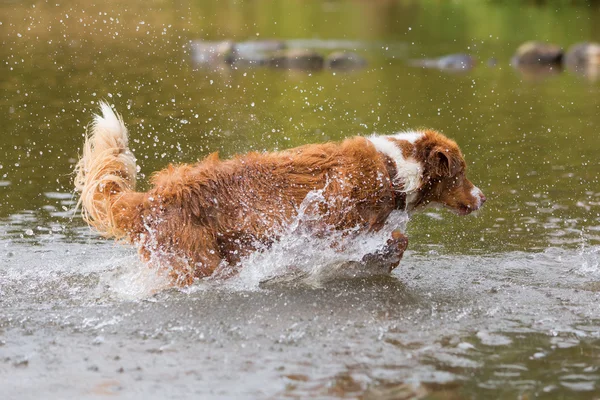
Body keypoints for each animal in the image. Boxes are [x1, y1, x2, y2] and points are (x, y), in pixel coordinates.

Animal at [76, 101, 488, 286]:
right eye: (461, 171)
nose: (483, 197)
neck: (393, 169)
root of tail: (150, 198)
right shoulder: (331, 223)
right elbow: (394, 242)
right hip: (199, 258)